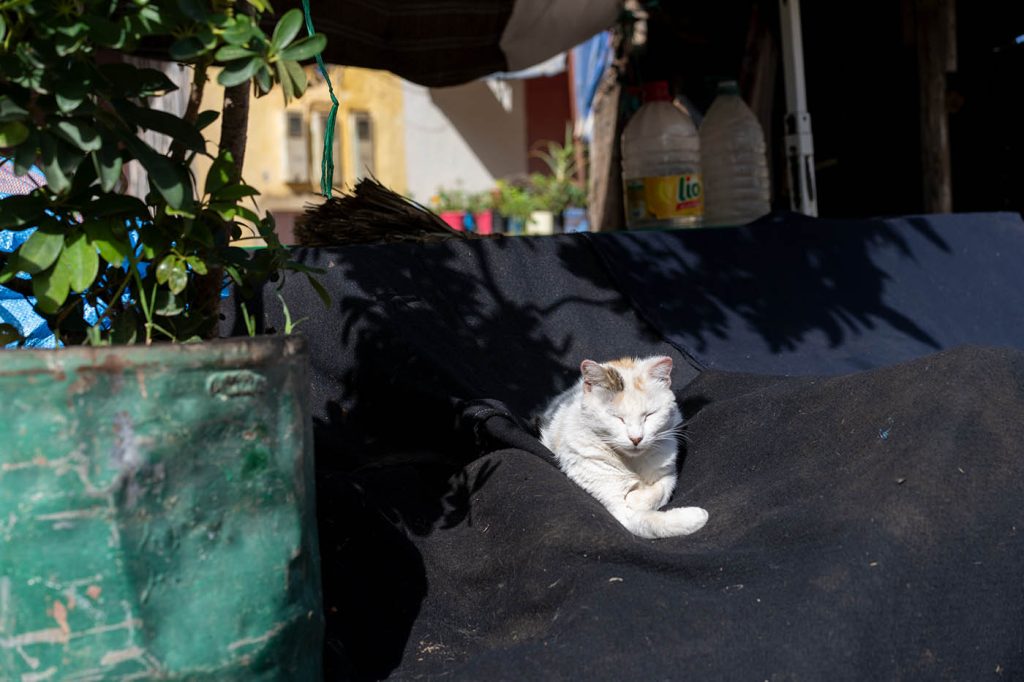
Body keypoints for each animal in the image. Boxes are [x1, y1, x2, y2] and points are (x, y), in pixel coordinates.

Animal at [540, 356, 708, 536]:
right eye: (618, 418)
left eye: (649, 415)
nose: (636, 438)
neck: (633, 462)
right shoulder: (620, 511)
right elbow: (647, 521)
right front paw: (696, 516)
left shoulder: (668, 472)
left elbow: (662, 489)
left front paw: (637, 498)